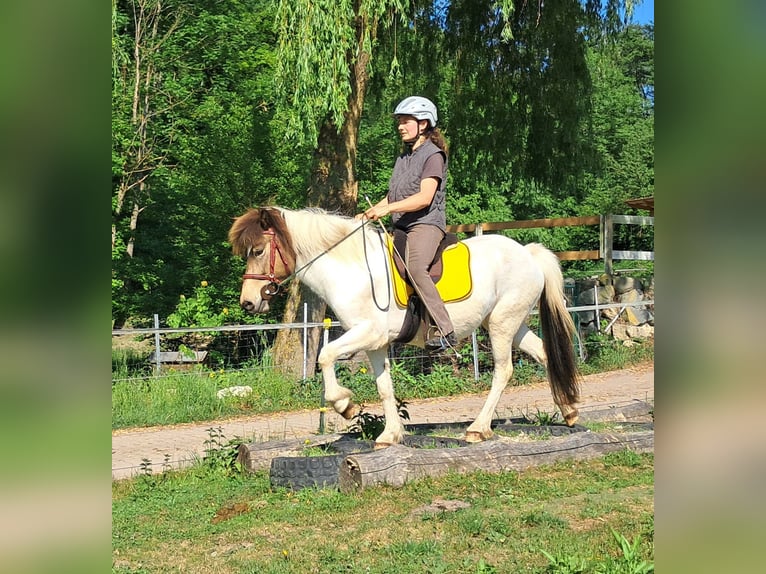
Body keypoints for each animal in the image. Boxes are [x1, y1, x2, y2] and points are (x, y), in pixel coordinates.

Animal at [228, 206, 581, 447]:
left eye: (258, 250)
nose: (248, 303)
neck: (352, 270)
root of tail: (528, 253)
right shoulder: (376, 344)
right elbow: (385, 387)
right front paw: (390, 434)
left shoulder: (366, 333)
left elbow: (325, 356)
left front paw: (344, 405)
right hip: (511, 323)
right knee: (544, 355)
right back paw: (569, 411)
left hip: (501, 324)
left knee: (504, 371)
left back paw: (478, 428)